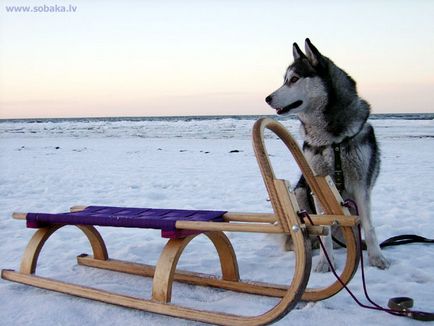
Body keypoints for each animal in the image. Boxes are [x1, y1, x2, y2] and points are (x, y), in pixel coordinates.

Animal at [264, 38, 390, 272]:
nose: (267, 98)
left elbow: (369, 225)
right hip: (300, 192)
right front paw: (325, 262)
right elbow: (325, 228)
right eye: (284, 80)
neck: (332, 140)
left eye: (293, 79)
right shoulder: (316, 182)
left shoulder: (362, 185)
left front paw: (377, 257)